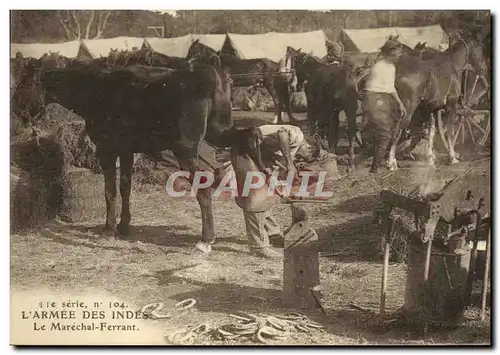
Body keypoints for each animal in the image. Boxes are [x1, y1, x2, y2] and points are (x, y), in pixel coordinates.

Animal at [16, 59, 239, 253]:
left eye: (22, 86)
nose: (18, 116)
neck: (97, 92)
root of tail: (211, 78)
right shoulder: (126, 152)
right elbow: (125, 188)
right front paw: (123, 226)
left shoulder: (107, 152)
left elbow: (110, 191)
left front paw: (109, 229)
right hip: (216, 137)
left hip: (185, 152)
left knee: (204, 186)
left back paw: (206, 239)